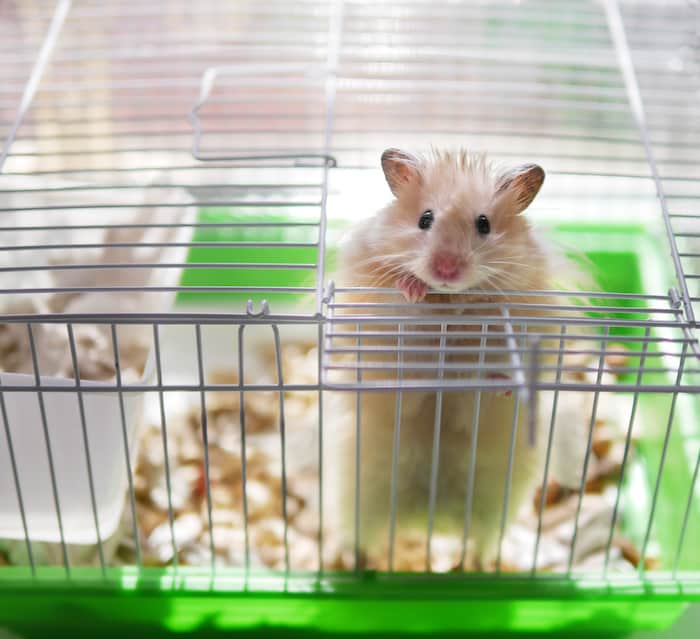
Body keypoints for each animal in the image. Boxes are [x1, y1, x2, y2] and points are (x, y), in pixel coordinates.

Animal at [326, 149, 564, 568]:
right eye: (425, 219)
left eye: (484, 224)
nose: (446, 270)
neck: (447, 302)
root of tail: (426, 522)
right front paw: (412, 287)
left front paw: (503, 384)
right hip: (358, 497)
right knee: (359, 538)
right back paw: (355, 563)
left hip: (495, 507)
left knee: (481, 544)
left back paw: (475, 566)